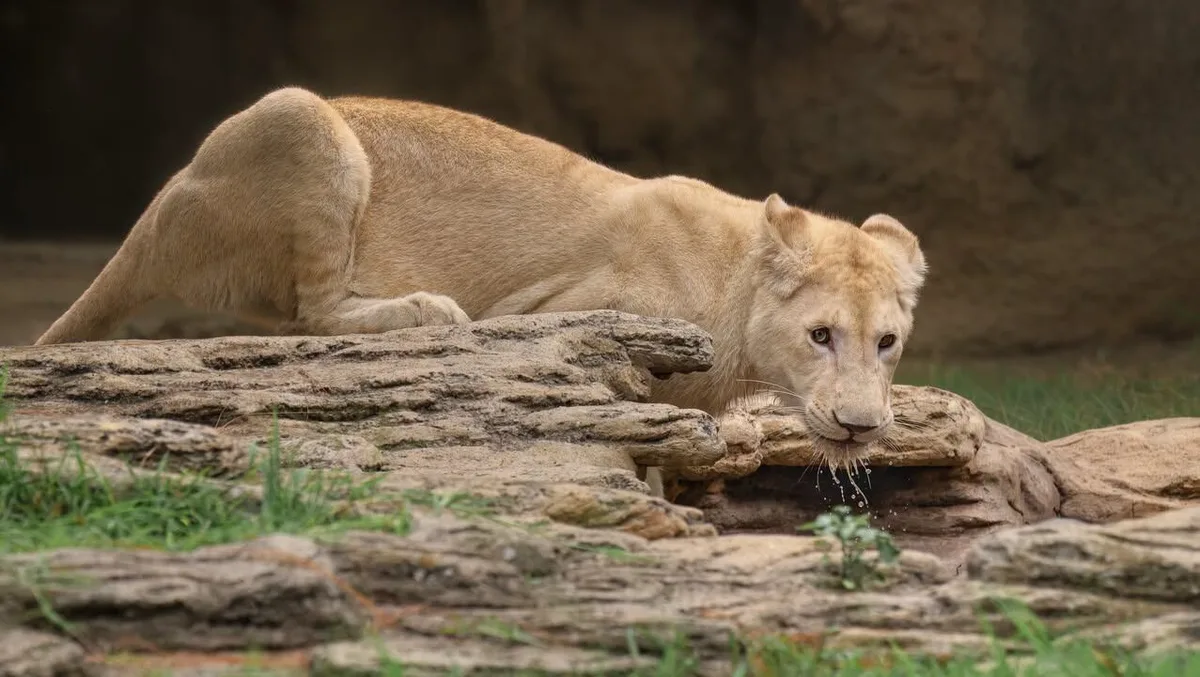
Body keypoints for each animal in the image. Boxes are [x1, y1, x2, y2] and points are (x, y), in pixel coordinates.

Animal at [35, 87, 927, 492]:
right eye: (820, 335)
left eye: (886, 342)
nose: (861, 425)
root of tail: (172, 190)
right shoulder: (563, 309)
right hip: (301, 117)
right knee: (311, 314)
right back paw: (424, 309)